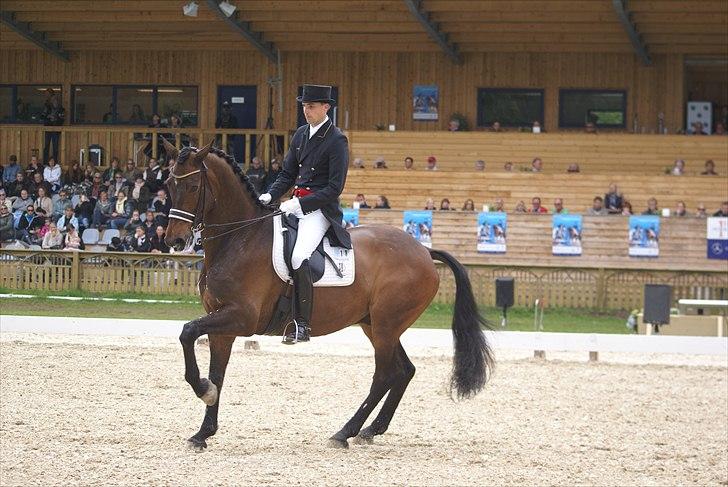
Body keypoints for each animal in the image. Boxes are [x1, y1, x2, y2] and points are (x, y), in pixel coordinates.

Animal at [164, 139, 494, 452]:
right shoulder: (222, 323)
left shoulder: (242, 318)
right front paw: (203, 432)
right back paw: (371, 430)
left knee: (385, 374)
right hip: (376, 324)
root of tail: (424, 251)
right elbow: (216, 371)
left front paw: (202, 390)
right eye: (168, 183)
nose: (174, 240)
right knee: (404, 370)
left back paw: (344, 433)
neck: (239, 239)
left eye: (192, 186)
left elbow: (187, 332)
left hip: (386, 326)